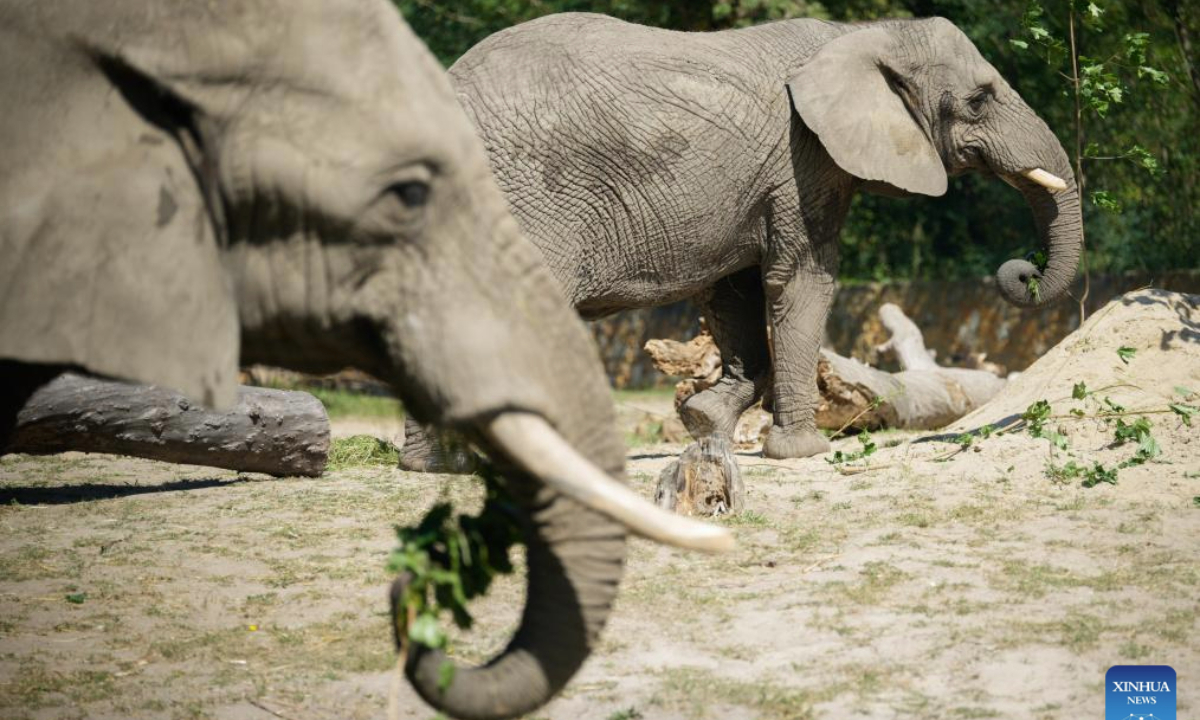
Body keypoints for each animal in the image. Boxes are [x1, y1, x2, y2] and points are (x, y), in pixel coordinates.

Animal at [425, 13, 1082, 462]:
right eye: (979, 100)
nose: (1021, 270)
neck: (862, 36)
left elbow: (733, 289)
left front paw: (703, 424)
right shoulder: (803, 157)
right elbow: (801, 280)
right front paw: (803, 453)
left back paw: (443, 467)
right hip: (526, 196)